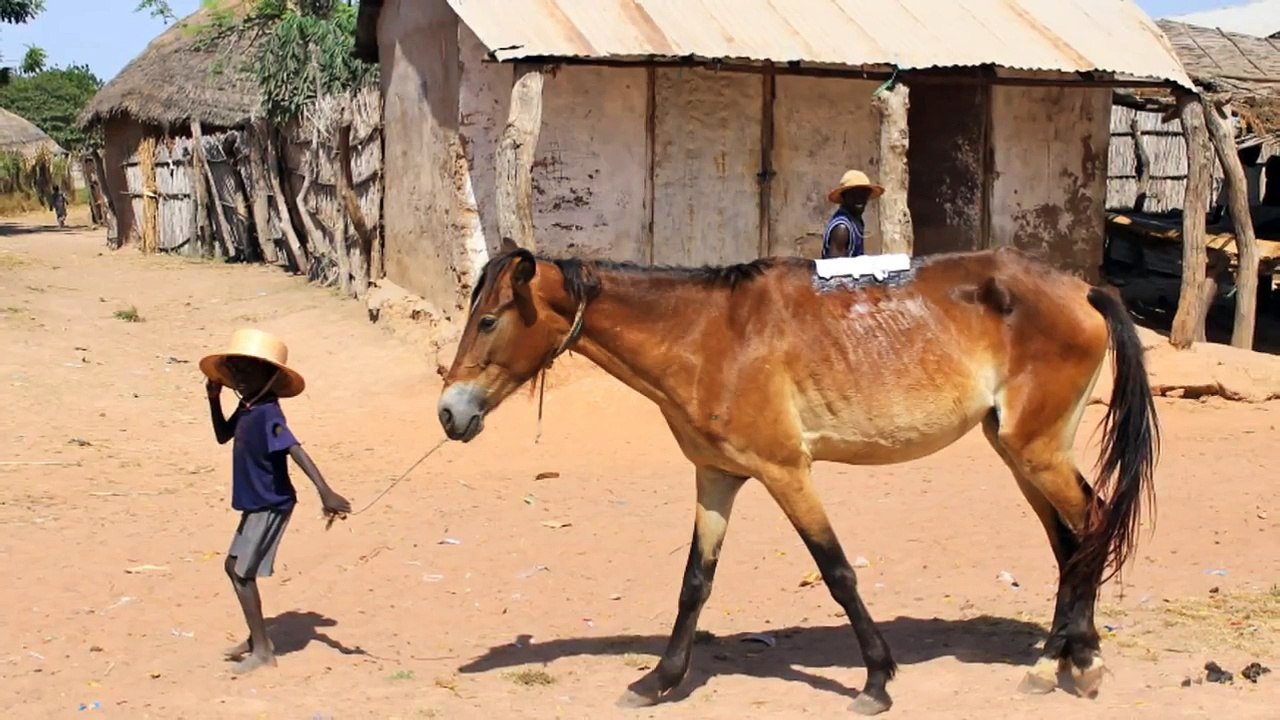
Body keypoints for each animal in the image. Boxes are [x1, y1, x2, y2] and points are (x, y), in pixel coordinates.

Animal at [437, 237, 1158, 715]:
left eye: (490, 320)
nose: (449, 412)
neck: (706, 336)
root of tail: (1082, 289)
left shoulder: (787, 472)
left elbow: (836, 571)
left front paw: (876, 681)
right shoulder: (716, 476)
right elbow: (694, 584)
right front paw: (659, 680)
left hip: (1035, 450)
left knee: (1092, 526)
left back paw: (1074, 662)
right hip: (1021, 451)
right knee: (1071, 544)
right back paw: (1061, 661)